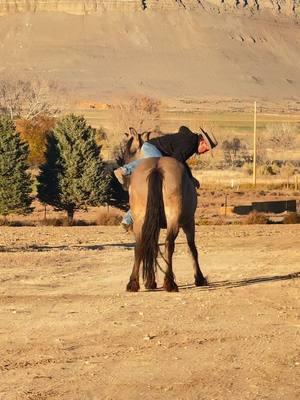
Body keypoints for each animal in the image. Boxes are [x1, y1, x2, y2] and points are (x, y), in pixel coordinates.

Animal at [123, 129, 207, 294]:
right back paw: (169, 282)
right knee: (169, 244)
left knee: (139, 245)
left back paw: (133, 283)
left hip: (141, 220)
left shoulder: (153, 225)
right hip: (174, 219)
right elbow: (192, 248)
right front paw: (199, 278)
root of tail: (157, 168)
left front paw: (150, 282)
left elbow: (153, 247)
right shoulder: (189, 222)